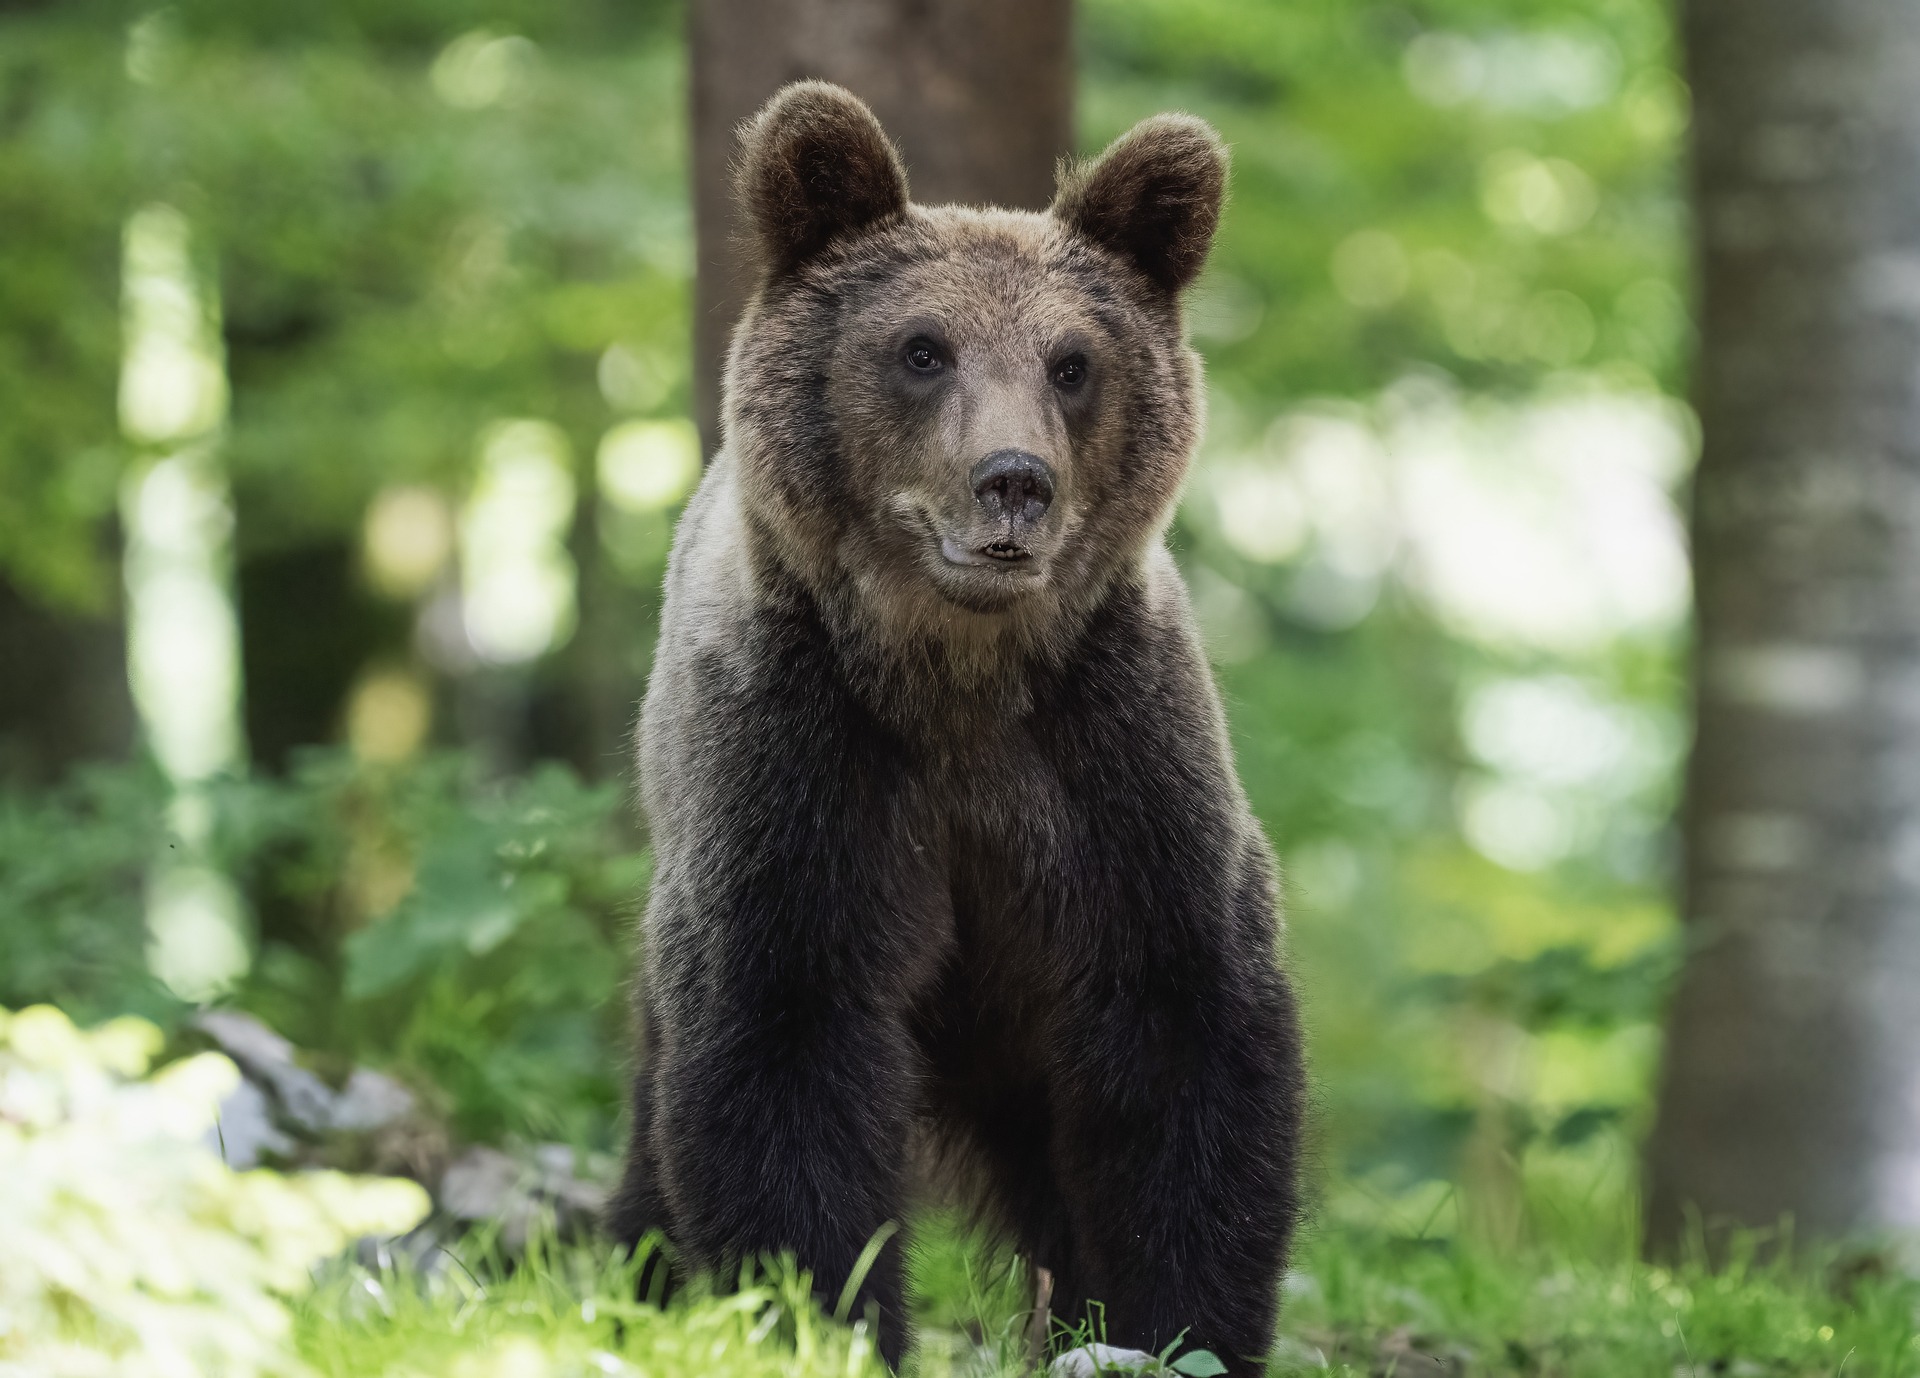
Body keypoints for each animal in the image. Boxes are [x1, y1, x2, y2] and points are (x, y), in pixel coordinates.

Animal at [614, 81, 1305, 1374]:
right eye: (921, 348)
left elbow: (1185, 1032)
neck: (959, 681)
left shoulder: (1114, 765)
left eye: (1072, 361)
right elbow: (786, 1044)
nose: (1014, 479)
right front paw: (821, 1311)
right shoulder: (802, 765)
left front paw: (1175, 1322)